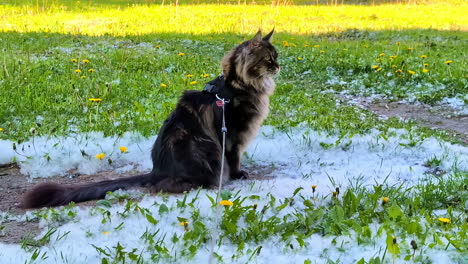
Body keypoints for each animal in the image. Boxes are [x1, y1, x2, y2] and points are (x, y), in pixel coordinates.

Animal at [19, 29, 278, 208]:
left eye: (276, 57)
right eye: (268, 59)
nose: (278, 67)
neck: (235, 86)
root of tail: (157, 171)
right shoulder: (233, 135)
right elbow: (234, 160)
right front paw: (238, 175)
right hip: (206, 149)